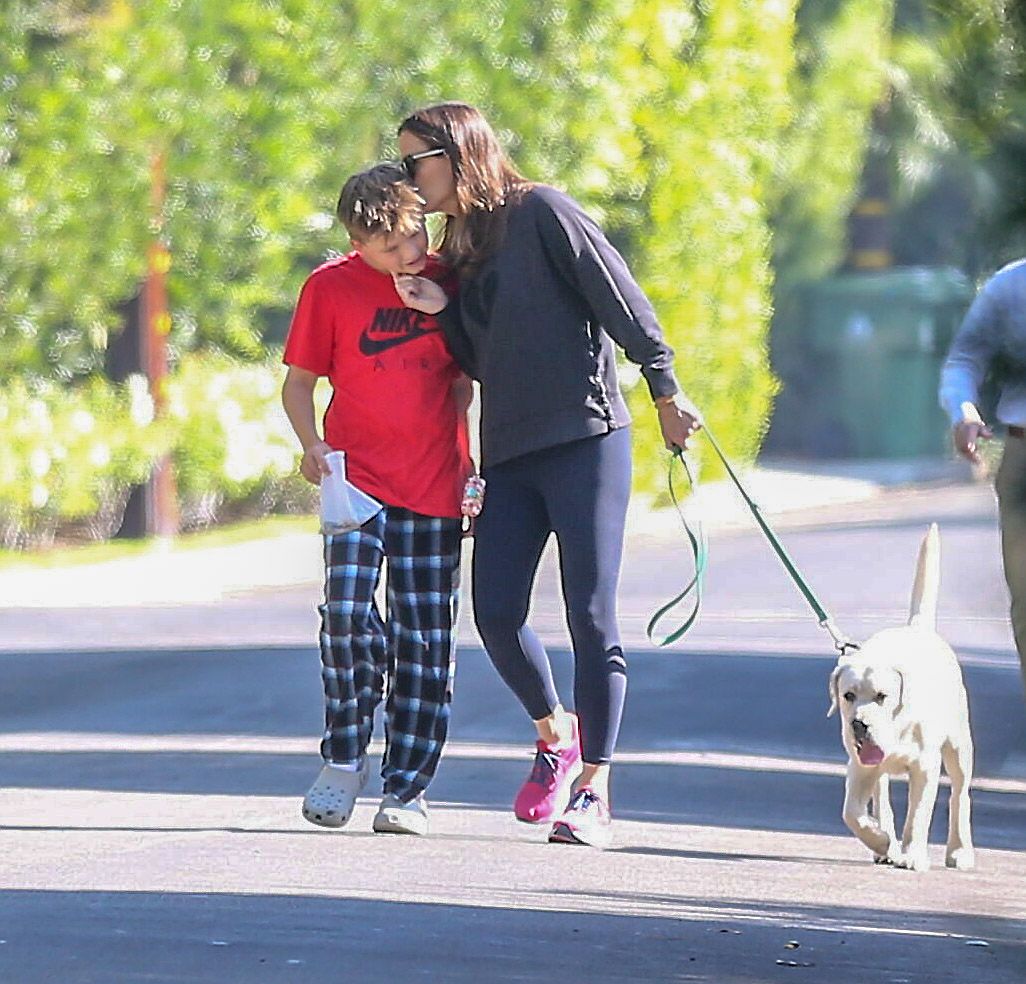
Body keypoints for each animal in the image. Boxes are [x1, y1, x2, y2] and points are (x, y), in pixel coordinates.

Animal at [824, 525, 976, 874]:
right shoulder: (859, 765)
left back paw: (959, 850)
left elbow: (918, 815)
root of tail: (917, 628)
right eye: (848, 696)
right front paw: (881, 841)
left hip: (959, 745)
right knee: (881, 800)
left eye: (882, 696)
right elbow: (853, 814)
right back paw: (886, 844)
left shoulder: (925, 766)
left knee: (960, 794)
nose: (859, 724)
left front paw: (913, 854)